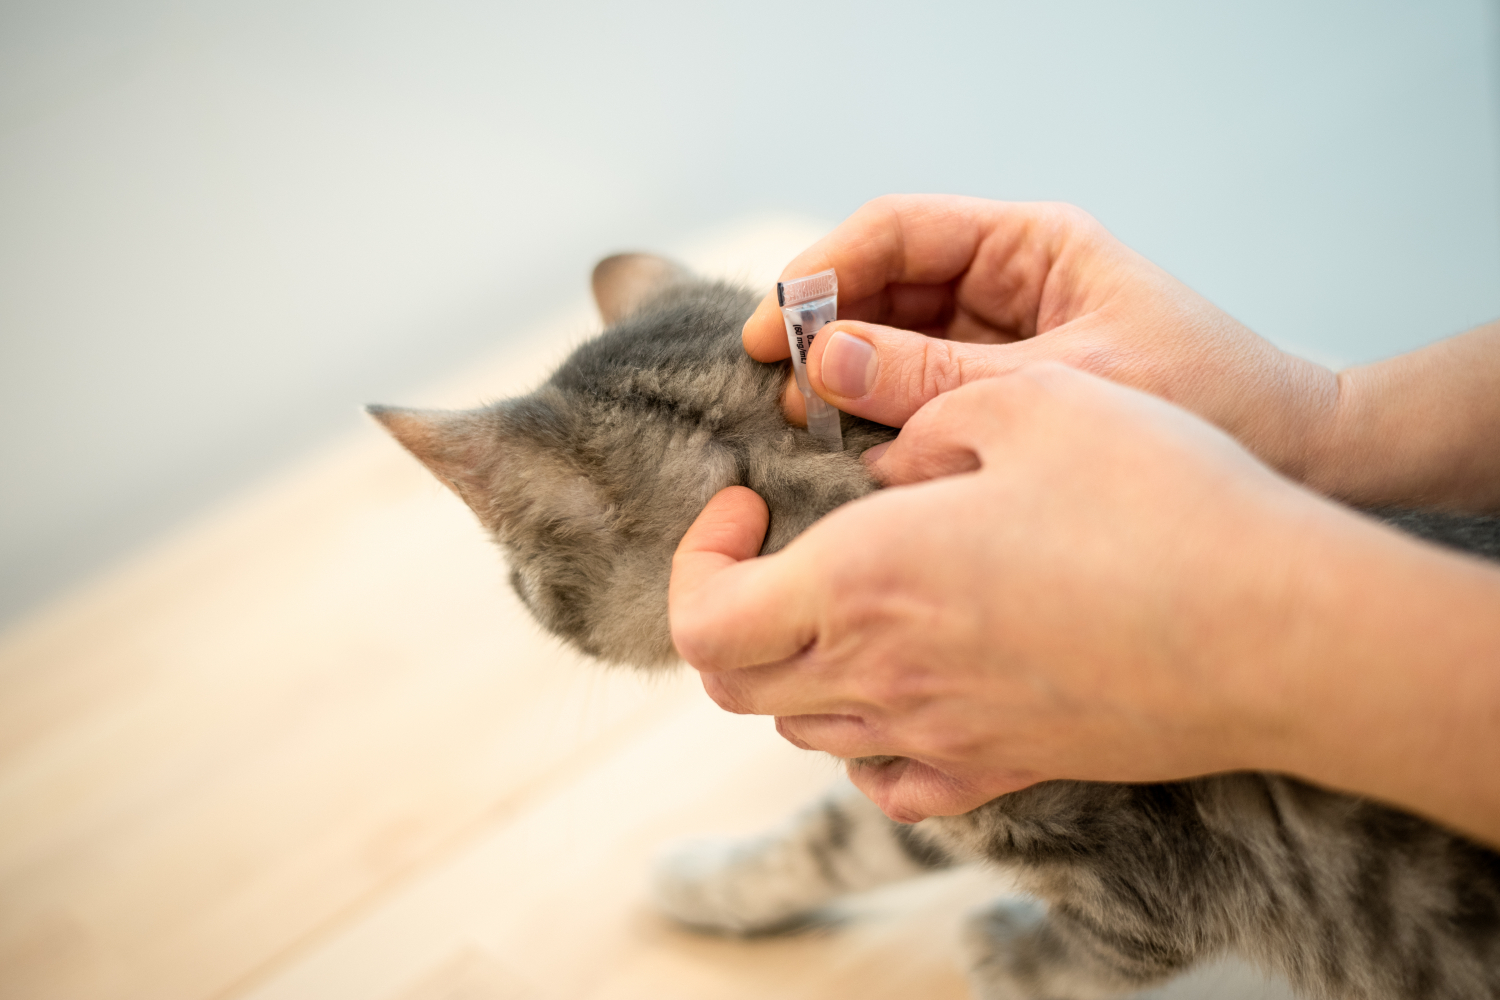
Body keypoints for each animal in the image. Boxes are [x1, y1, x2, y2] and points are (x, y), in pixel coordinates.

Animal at [372, 254, 1500, 995]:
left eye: (518, 579)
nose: (517, 592)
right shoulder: (923, 763)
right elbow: (840, 836)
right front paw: (712, 882)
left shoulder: (1136, 879)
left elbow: (1091, 956)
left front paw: (1007, 950)